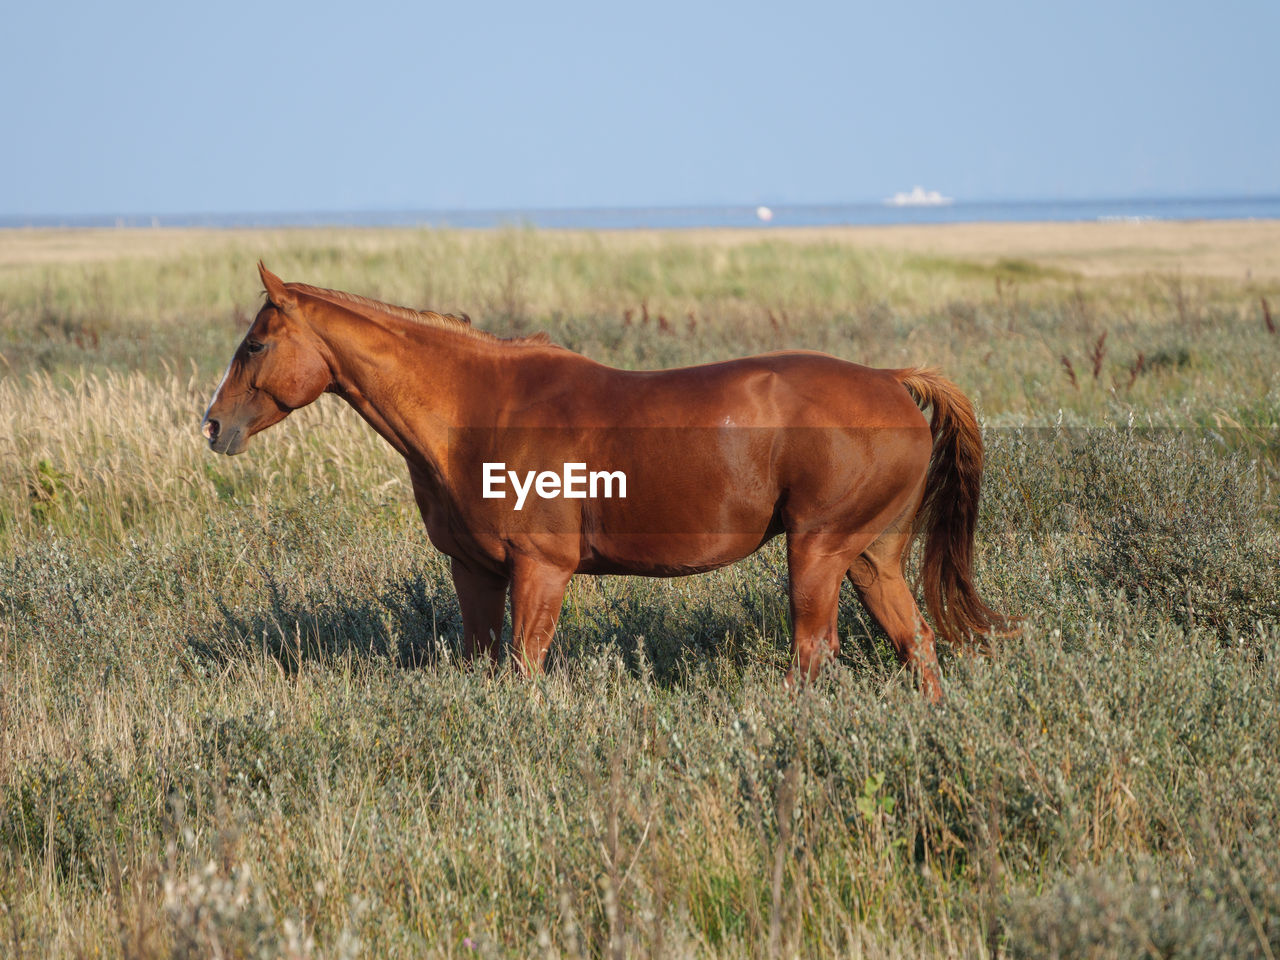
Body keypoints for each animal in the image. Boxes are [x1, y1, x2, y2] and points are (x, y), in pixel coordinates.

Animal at [199, 263, 1003, 701]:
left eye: (257, 344)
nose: (212, 425)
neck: (480, 409)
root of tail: (893, 382)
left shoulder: (541, 570)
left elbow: (524, 667)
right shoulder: (475, 572)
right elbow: (485, 664)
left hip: (817, 553)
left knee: (813, 654)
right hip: (870, 559)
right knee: (917, 646)